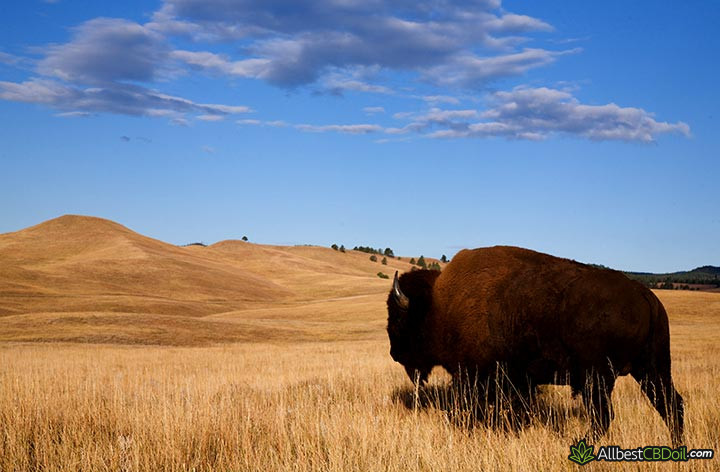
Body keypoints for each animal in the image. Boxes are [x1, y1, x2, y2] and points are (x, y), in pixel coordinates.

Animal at [388, 247, 688, 446]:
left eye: (399, 317)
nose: (393, 352)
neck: (438, 305)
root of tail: (644, 294)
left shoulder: (475, 375)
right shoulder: (518, 380)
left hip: (599, 378)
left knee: (604, 416)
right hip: (652, 369)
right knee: (671, 404)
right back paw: (676, 447)